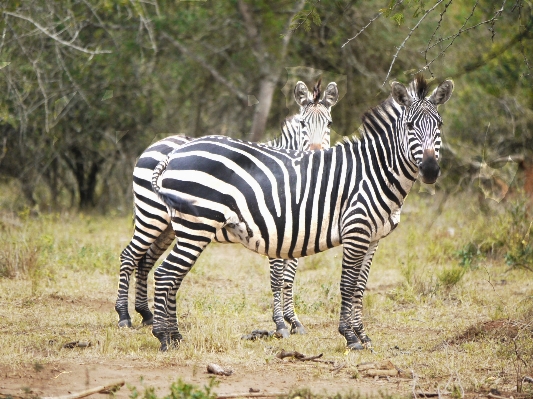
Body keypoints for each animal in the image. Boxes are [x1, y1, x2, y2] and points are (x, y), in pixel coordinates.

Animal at [114, 78, 338, 338]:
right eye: (303, 124)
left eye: (329, 123)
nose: (316, 154)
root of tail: (156, 143)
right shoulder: (275, 228)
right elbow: (277, 278)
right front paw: (280, 324)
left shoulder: (298, 232)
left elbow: (288, 279)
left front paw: (294, 321)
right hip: (151, 214)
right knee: (130, 255)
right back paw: (124, 316)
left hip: (170, 226)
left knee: (146, 259)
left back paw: (147, 314)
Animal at [150, 74, 454, 350]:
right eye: (410, 126)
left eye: (439, 125)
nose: (430, 170)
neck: (375, 170)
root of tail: (175, 152)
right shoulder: (355, 231)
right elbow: (346, 284)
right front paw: (350, 337)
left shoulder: (373, 238)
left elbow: (359, 287)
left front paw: (364, 336)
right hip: (193, 225)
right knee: (165, 273)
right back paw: (164, 337)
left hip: (183, 228)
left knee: (167, 273)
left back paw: (174, 336)